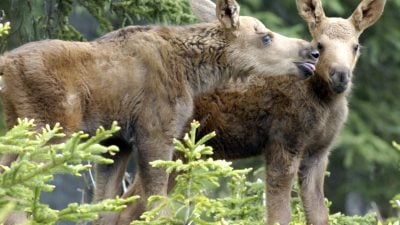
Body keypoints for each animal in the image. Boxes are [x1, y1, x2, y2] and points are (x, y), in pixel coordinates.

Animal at [0, 0, 318, 223]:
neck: (192, 74)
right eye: (266, 37)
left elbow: (105, 205)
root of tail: (6, 65)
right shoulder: (155, 131)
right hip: (48, 127)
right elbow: (157, 202)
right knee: (18, 185)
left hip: (18, 123)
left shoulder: (117, 141)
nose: (312, 52)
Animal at [179, 0, 388, 225]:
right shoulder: (284, 142)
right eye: (320, 45)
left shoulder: (319, 152)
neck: (324, 103)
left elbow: (319, 213)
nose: (340, 74)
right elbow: (279, 214)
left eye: (355, 46)